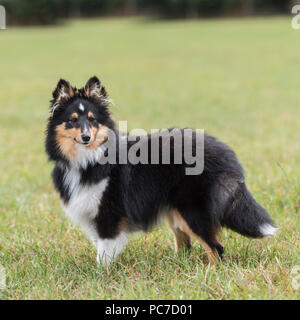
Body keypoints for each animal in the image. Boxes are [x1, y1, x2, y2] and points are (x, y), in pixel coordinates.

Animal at [45, 76, 278, 266]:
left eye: (92, 119)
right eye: (73, 119)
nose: (86, 137)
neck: (88, 158)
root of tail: (226, 153)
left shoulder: (109, 216)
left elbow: (104, 255)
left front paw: (102, 276)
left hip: (192, 210)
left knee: (216, 249)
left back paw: (209, 272)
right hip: (175, 210)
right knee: (186, 245)